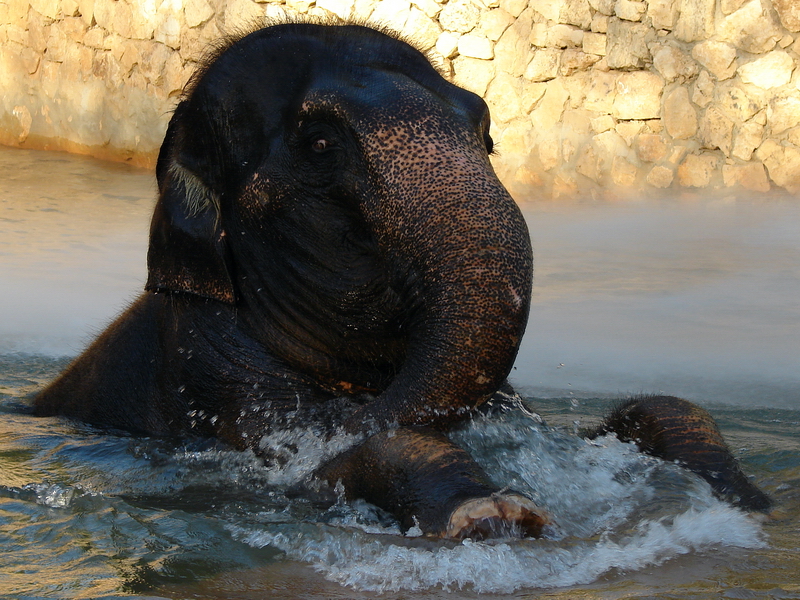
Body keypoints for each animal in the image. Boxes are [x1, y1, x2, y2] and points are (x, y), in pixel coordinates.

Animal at [33, 21, 770, 540]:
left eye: (485, 127)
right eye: (320, 144)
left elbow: (660, 410)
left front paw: (743, 497)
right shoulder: (219, 389)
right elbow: (316, 462)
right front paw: (489, 513)